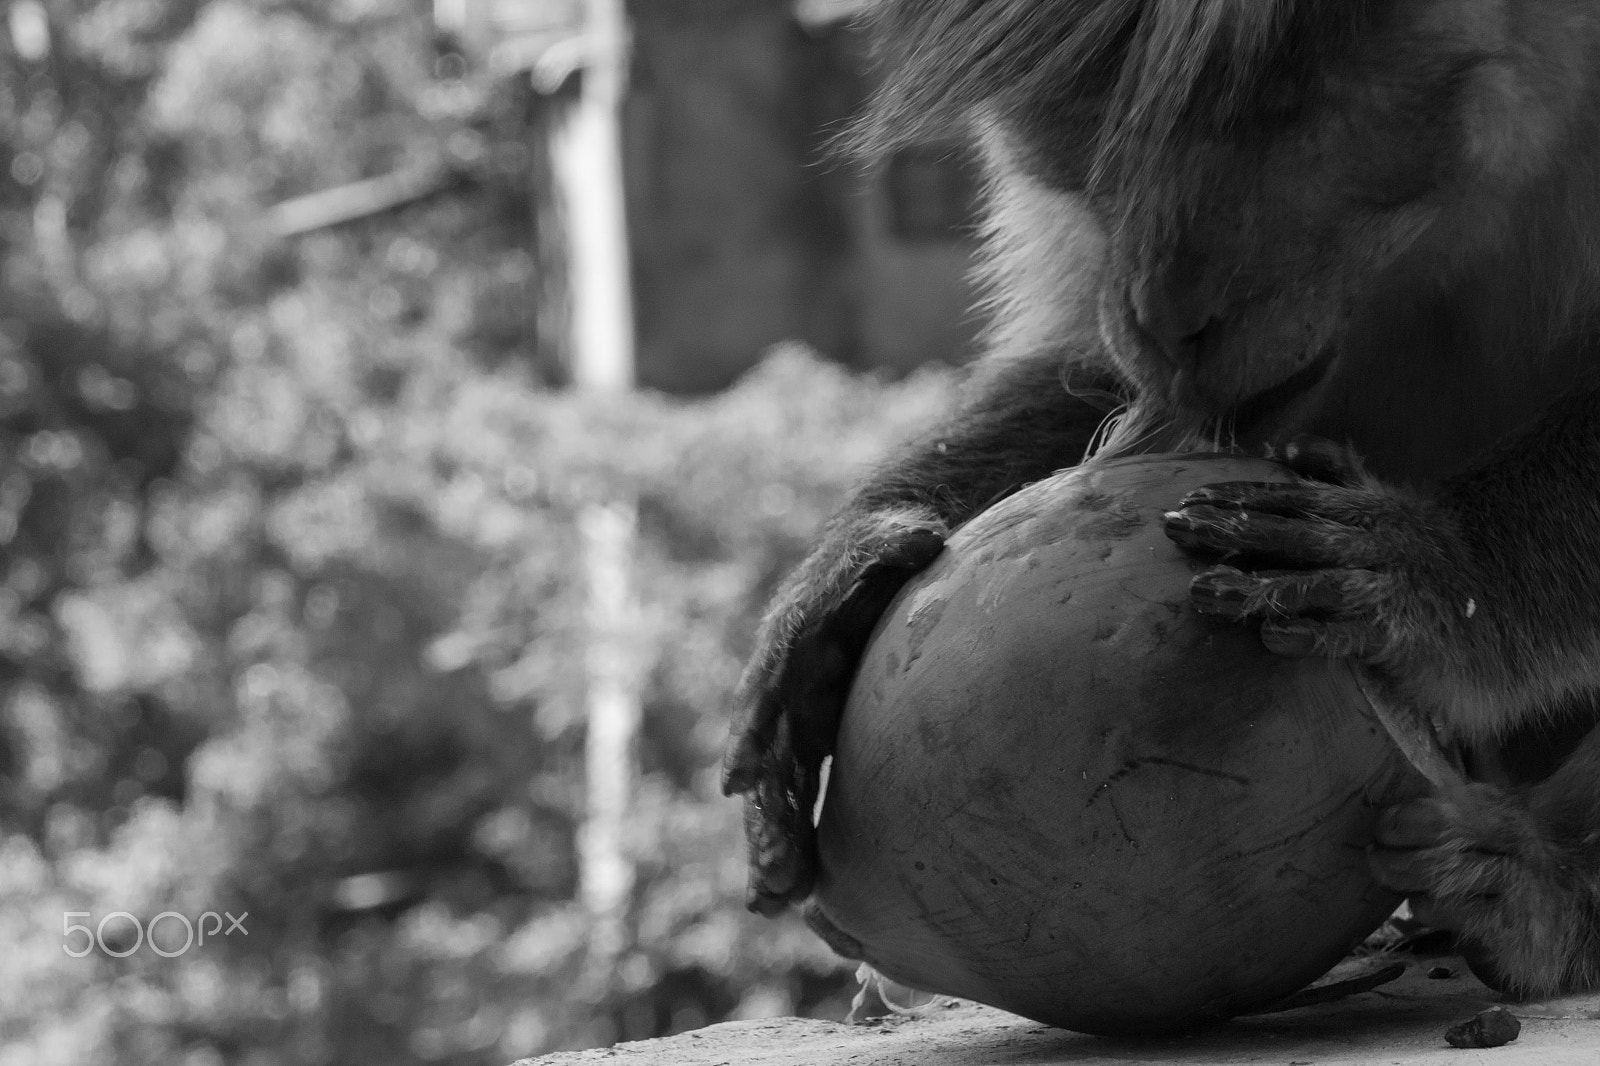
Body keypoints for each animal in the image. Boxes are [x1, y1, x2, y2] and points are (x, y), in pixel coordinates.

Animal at [723, 0, 1600, 998]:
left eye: (1277, 107)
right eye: (1087, 142)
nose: (1162, 314)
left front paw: (1434, 566)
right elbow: (1091, 371)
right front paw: (836, 594)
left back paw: (1548, 899)